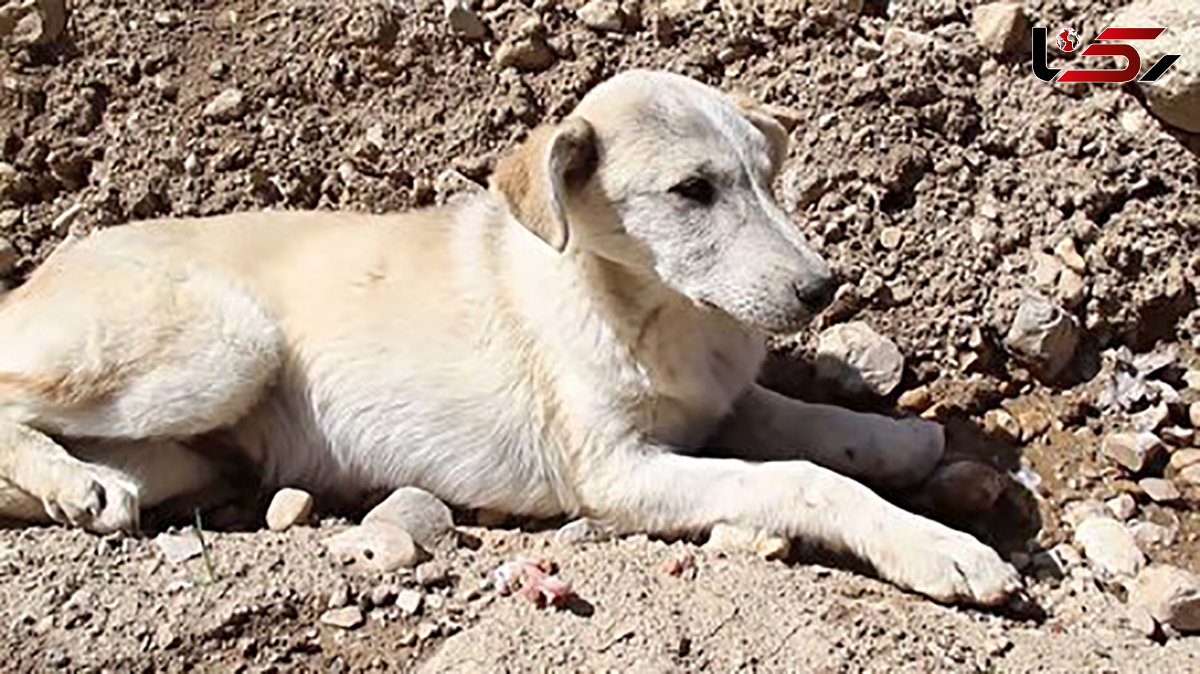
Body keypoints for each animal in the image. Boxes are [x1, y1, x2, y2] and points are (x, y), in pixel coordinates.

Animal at [0, 72, 1022, 604]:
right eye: (693, 191)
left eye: (769, 180)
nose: (823, 287)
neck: (649, 308)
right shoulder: (618, 473)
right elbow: (804, 478)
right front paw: (940, 549)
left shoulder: (714, 403)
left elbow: (803, 424)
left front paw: (898, 439)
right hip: (224, 346)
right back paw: (70, 483)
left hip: (191, 444)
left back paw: (87, 490)